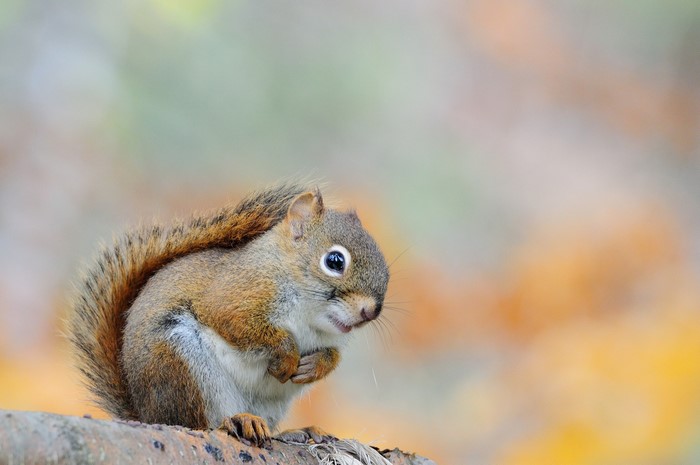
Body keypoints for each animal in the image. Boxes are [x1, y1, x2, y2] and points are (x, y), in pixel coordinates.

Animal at [67, 183, 389, 448]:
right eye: (334, 261)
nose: (370, 312)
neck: (310, 316)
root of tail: (146, 415)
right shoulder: (233, 296)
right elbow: (236, 322)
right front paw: (287, 354)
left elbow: (332, 354)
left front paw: (316, 365)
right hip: (178, 362)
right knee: (195, 424)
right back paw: (236, 421)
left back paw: (295, 432)